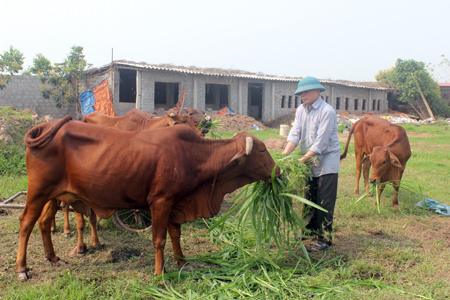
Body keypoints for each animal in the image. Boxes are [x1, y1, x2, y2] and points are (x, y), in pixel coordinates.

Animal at [16, 115, 278, 282]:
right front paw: (160, 275)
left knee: (44, 223)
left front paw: (182, 262)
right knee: (26, 223)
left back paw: (53, 258)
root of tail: (44, 126)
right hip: (38, 192)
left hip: (54, 196)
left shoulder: (175, 204)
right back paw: (22, 269)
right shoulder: (160, 202)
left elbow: (176, 235)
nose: (280, 172)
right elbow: (159, 239)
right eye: (263, 150)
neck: (194, 154)